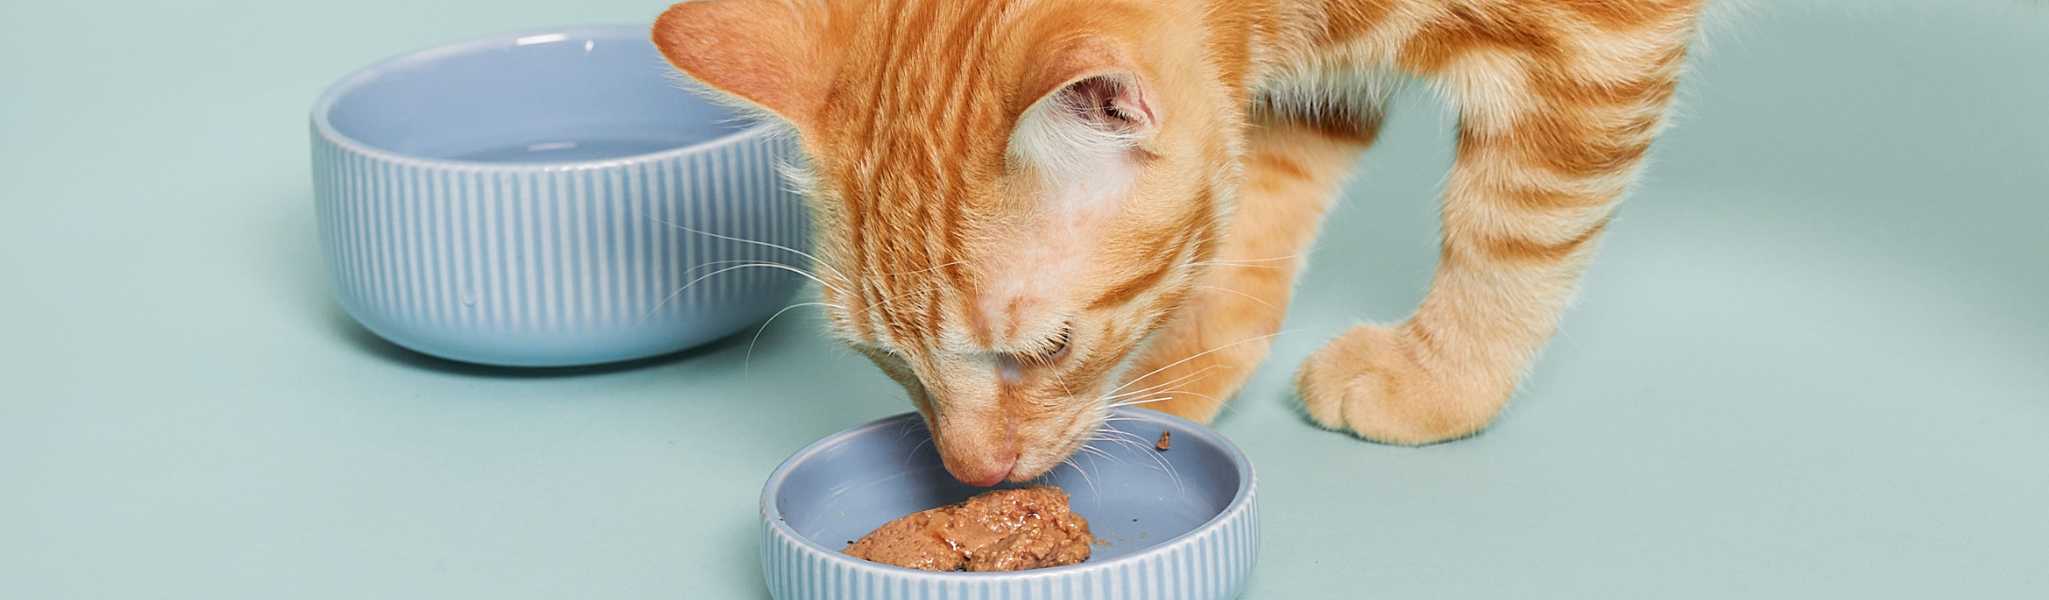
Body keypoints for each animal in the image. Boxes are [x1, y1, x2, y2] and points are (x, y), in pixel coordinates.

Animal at [655, 0, 1696, 483]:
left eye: (1048, 348)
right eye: (887, 360)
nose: (971, 474)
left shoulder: (1600, 46)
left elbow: (1514, 226)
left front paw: (1445, 377)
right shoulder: (1302, 87)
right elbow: (1259, 196)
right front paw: (1184, 360)